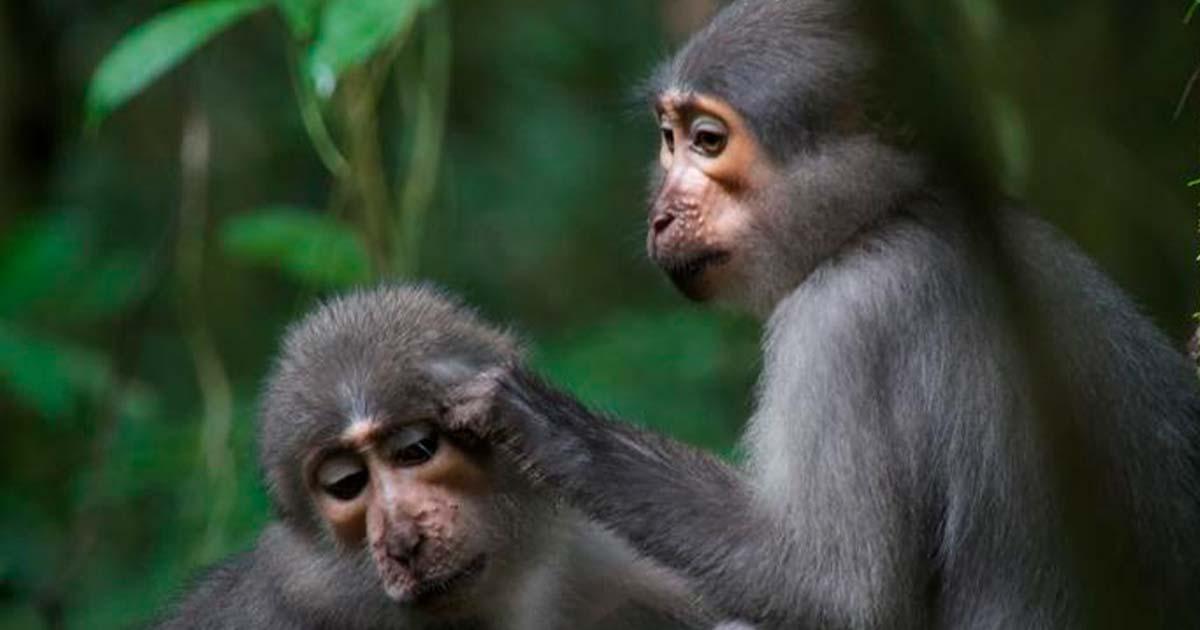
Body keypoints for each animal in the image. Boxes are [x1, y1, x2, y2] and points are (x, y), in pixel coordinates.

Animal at [437, 1, 1200, 628]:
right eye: (668, 137)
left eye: (708, 141)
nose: (660, 214)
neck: (891, 215)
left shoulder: (839, 322)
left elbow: (839, 593)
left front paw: (539, 421)